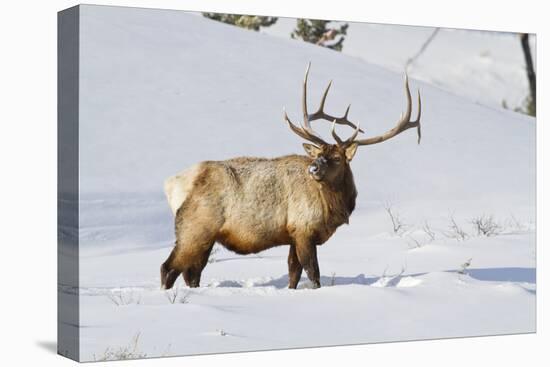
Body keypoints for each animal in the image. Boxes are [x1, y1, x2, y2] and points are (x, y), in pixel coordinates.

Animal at [161, 64, 422, 292]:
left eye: (337, 158)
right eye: (319, 154)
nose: (313, 169)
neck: (334, 207)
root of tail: (172, 184)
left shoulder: (293, 235)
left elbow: (293, 274)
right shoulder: (304, 229)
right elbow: (313, 274)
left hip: (206, 235)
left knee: (192, 272)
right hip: (195, 226)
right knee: (169, 267)